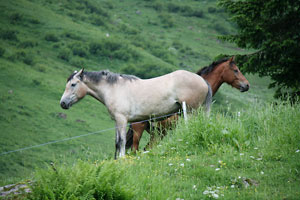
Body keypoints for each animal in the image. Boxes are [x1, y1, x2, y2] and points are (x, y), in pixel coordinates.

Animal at [59, 69, 212, 159]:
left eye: (73, 84)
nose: (63, 103)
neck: (114, 89)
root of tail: (203, 81)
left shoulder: (122, 120)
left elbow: (121, 141)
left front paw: (121, 159)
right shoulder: (117, 122)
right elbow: (117, 142)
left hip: (191, 112)